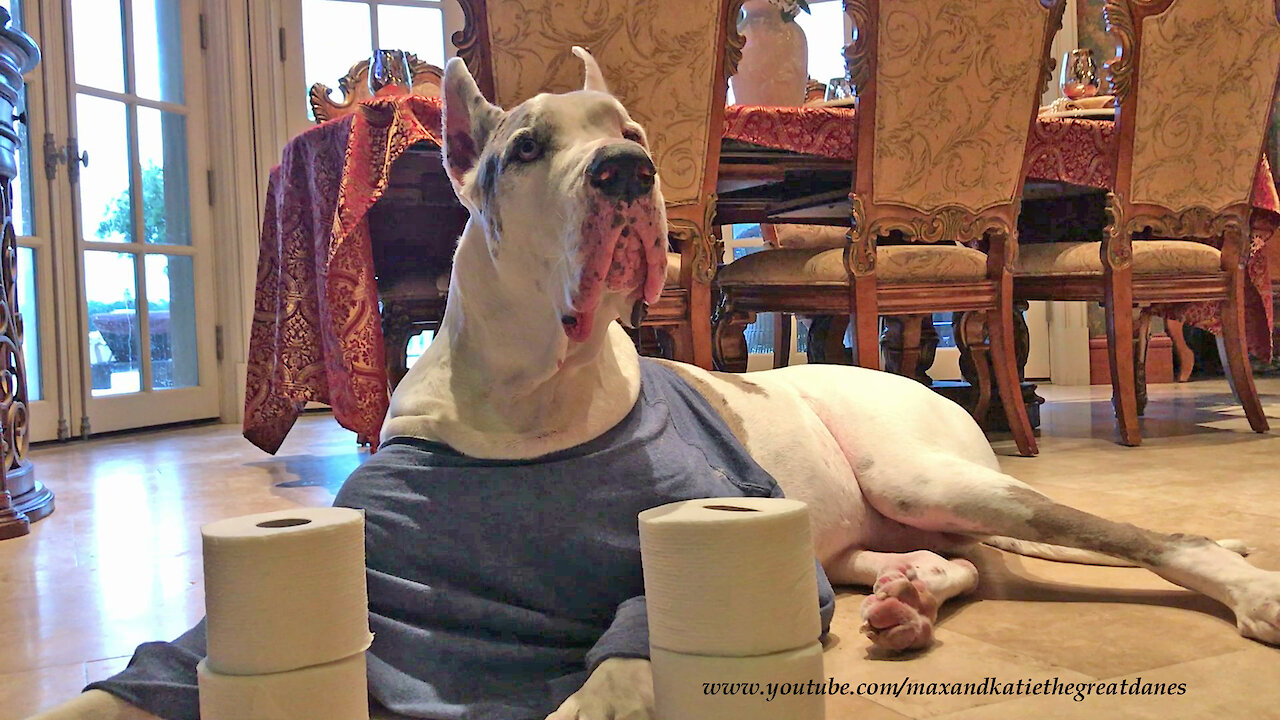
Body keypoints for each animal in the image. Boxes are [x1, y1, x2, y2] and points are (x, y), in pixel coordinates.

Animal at [40, 50, 1280, 717]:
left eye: (630, 128)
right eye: (524, 149)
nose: (630, 173)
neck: (533, 396)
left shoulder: (654, 585)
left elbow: (615, 673)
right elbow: (129, 679)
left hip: (926, 472)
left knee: (1135, 536)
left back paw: (1241, 585)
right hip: (857, 527)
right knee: (957, 563)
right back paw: (903, 601)